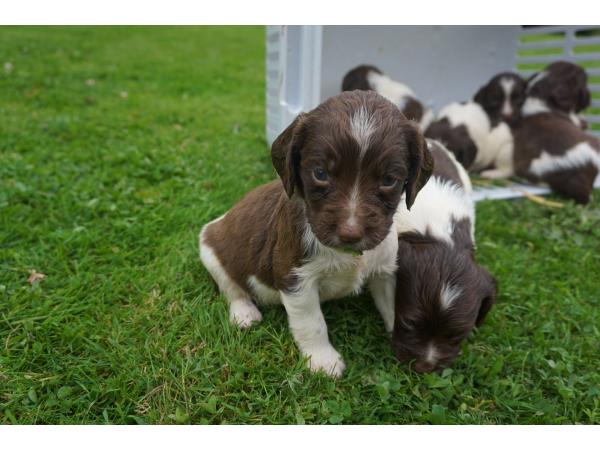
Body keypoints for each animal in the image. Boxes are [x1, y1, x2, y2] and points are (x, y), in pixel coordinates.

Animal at [200, 90, 432, 376]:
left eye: (389, 180)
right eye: (320, 173)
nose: (351, 233)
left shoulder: (385, 270)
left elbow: (392, 305)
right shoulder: (296, 277)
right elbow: (312, 322)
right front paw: (324, 361)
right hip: (210, 248)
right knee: (232, 287)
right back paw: (244, 313)